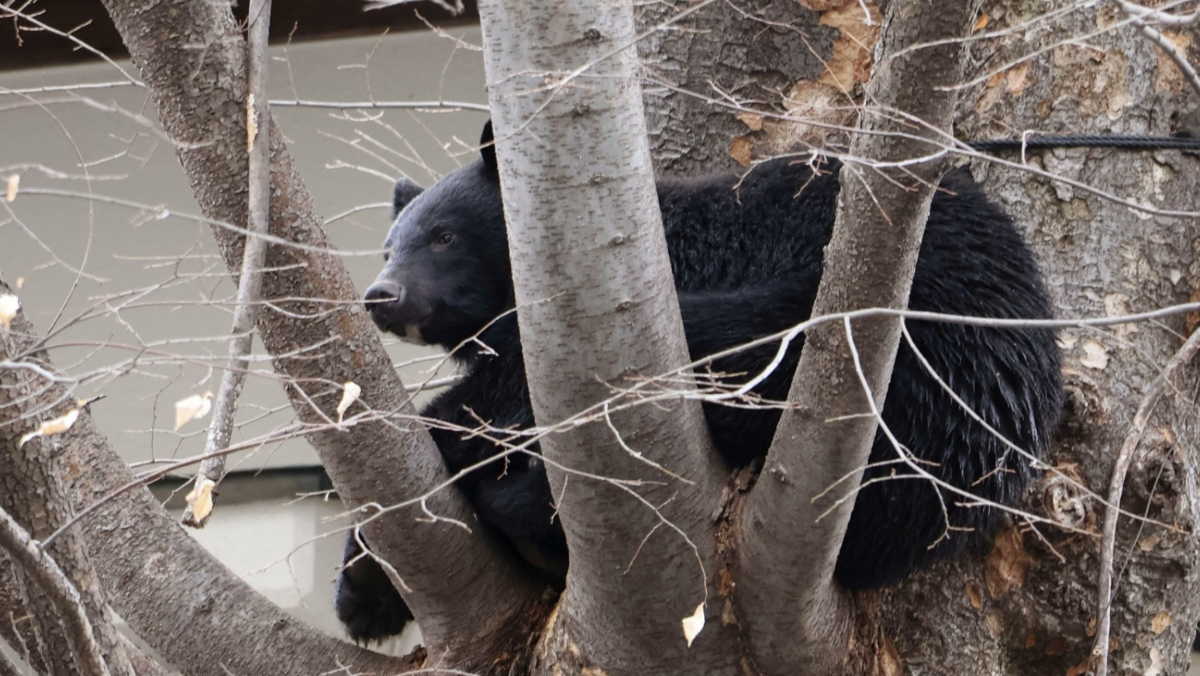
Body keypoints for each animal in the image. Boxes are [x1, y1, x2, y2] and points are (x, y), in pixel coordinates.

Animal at [334, 121, 1064, 643]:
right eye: (389, 246)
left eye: (444, 236)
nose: (381, 295)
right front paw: (366, 594)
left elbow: (487, 402)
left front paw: (364, 583)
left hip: (876, 330)